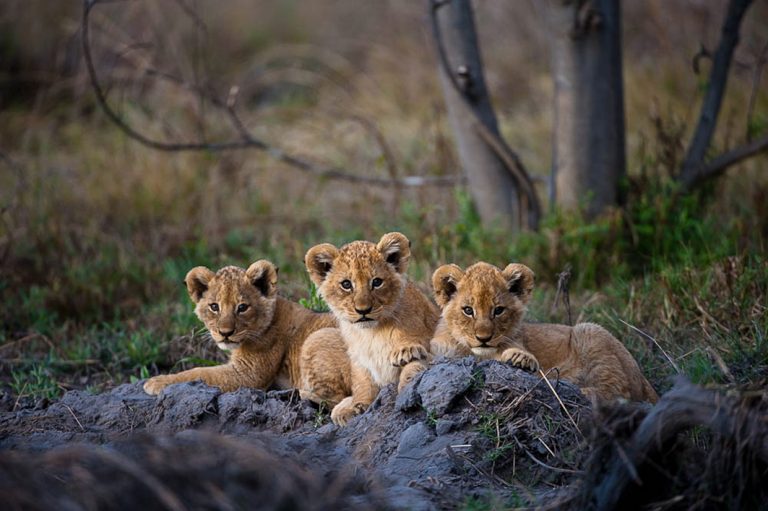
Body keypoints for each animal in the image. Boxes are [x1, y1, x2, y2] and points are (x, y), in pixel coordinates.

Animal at [142, 262, 350, 406]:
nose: (225, 333)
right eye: (214, 307)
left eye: (242, 307)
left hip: (318, 338)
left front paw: (157, 381)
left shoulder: (249, 374)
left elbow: (200, 372)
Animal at [304, 234, 438, 426]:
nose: (363, 310)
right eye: (346, 284)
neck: (371, 333)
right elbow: (362, 382)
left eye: (377, 282)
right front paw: (358, 405)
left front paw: (407, 385)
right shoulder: (359, 358)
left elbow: (416, 363)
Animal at [428, 264, 656, 404]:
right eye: (468, 310)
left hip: (589, 331)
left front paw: (520, 359)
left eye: (498, 310)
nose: (483, 339)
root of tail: (645, 379)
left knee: (619, 393)